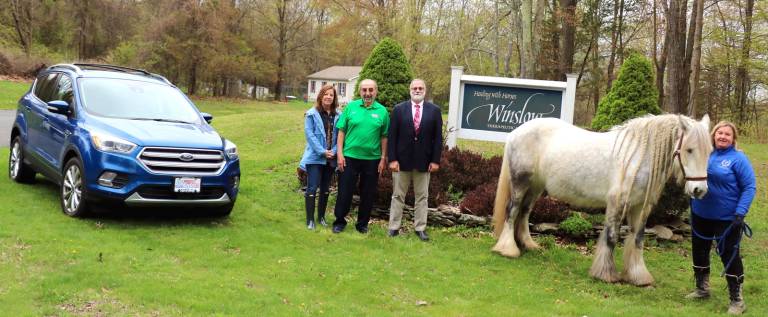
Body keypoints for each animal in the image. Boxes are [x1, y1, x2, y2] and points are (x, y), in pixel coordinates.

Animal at [492, 113, 712, 284]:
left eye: (710, 151)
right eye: (689, 149)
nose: (699, 190)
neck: (639, 156)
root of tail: (516, 132)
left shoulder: (640, 206)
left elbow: (638, 238)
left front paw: (638, 276)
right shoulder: (617, 202)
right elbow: (612, 236)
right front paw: (606, 274)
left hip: (535, 186)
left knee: (524, 211)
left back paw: (528, 245)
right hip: (520, 182)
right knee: (512, 211)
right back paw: (508, 249)